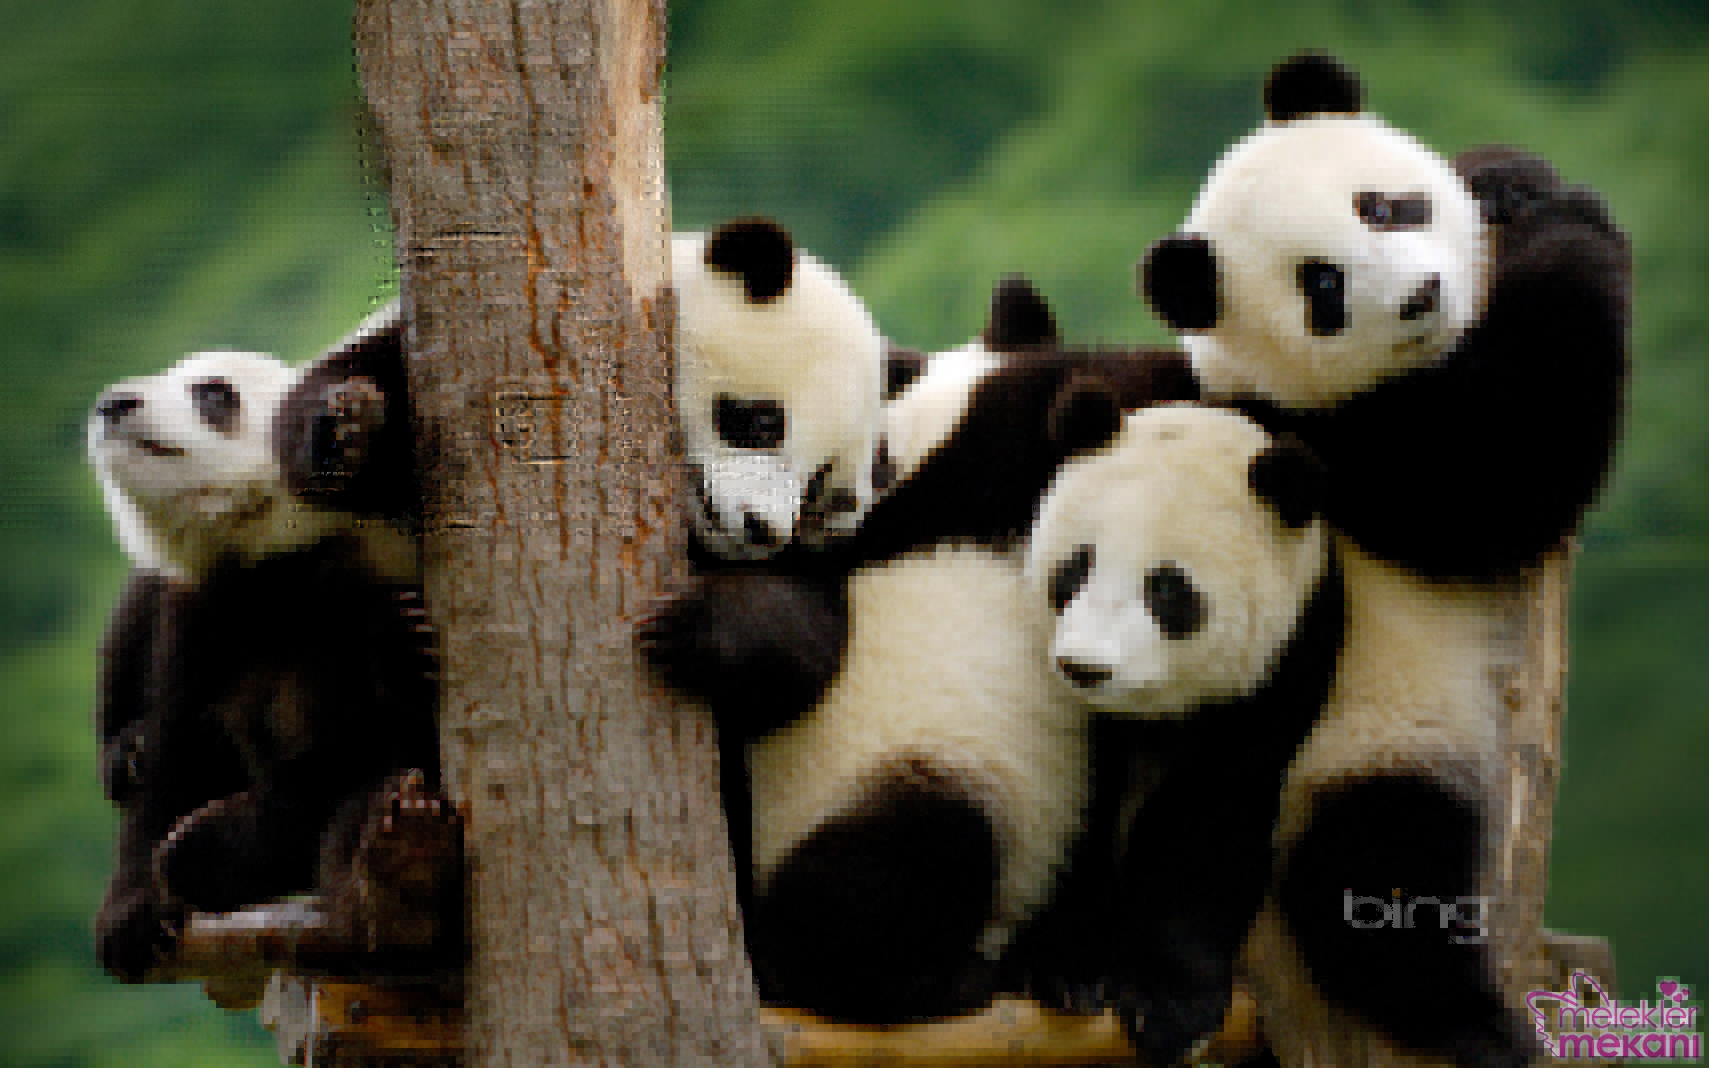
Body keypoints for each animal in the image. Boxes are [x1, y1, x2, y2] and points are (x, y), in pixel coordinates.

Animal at [88, 315, 439, 984]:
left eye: (213, 392)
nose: (114, 402)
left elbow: (351, 758)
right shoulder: (207, 613)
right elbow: (177, 749)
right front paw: (132, 915)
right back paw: (126, 752)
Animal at [1007, 403, 1343, 1067]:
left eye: (1165, 587)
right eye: (1075, 566)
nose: (1085, 667)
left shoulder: (1283, 669)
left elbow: (1209, 825)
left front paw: (1168, 1008)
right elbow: (1077, 804)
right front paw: (1069, 968)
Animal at [1134, 52, 1620, 1067]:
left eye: (1383, 207)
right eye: (1321, 288)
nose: (1420, 296)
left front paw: (1510, 180)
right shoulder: (1339, 443)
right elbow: (1508, 469)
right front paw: (1571, 224)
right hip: (1357, 740)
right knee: (1376, 877)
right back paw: (1472, 1021)